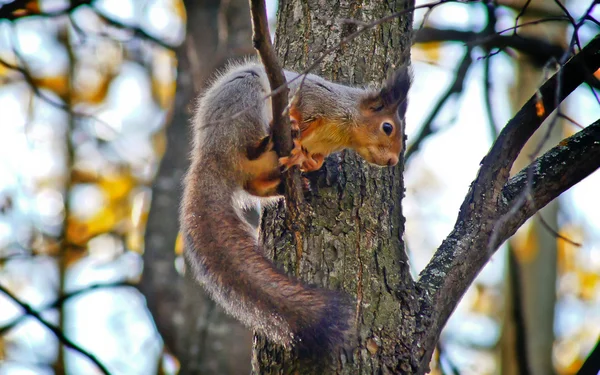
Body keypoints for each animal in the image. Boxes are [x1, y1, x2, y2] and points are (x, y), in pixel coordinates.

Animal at [180, 61, 410, 362]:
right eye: (387, 127)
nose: (393, 160)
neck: (340, 132)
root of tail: (209, 157)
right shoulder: (315, 97)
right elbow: (299, 108)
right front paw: (294, 124)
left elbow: (315, 159)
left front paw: (310, 162)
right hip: (242, 103)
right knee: (248, 146)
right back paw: (267, 141)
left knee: (253, 184)